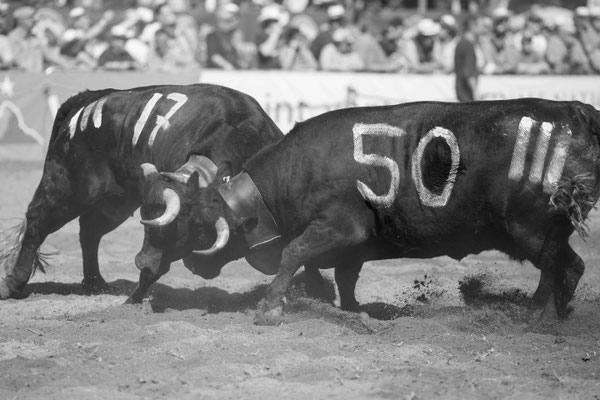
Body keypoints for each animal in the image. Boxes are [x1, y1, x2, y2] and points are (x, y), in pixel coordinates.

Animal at [0, 83, 284, 298]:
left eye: (202, 235)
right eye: (151, 224)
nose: (141, 262)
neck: (239, 128)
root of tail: (89, 99)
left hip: (115, 203)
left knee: (89, 231)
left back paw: (95, 283)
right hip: (68, 190)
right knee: (37, 222)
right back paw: (14, 283)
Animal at [138, 97, 600, 324]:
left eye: (195, 227)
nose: (145, 261)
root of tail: (578, 113)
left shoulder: (341, 229)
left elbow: (293, 253)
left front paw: (270, 307)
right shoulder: (353, 249)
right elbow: (344, 279)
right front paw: (352, 311)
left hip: (531, 229)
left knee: (564, 265)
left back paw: (543, 314)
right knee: (559, 267)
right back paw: (546, 308)